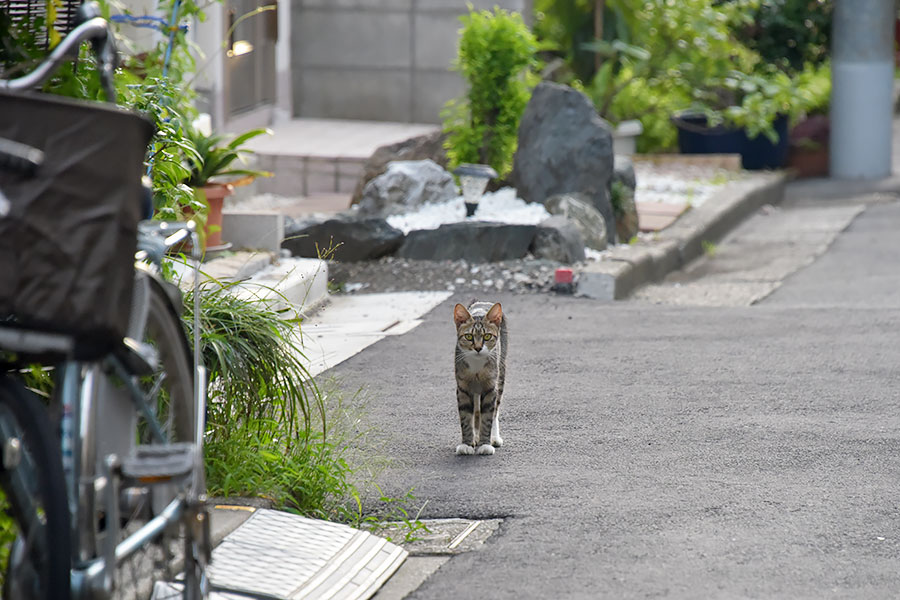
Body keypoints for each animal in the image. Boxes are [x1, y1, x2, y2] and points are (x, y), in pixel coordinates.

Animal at [450, 300, 506, 454]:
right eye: (469, 336)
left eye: (487, 336)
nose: (478, 348)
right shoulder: (462, 387)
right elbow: (466, 417)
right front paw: (467, 444)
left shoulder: (491, 386)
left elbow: (487, 416)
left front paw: (485, 445)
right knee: (475, 411)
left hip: (501, 374)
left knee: (495, 410)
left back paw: (494, 438)